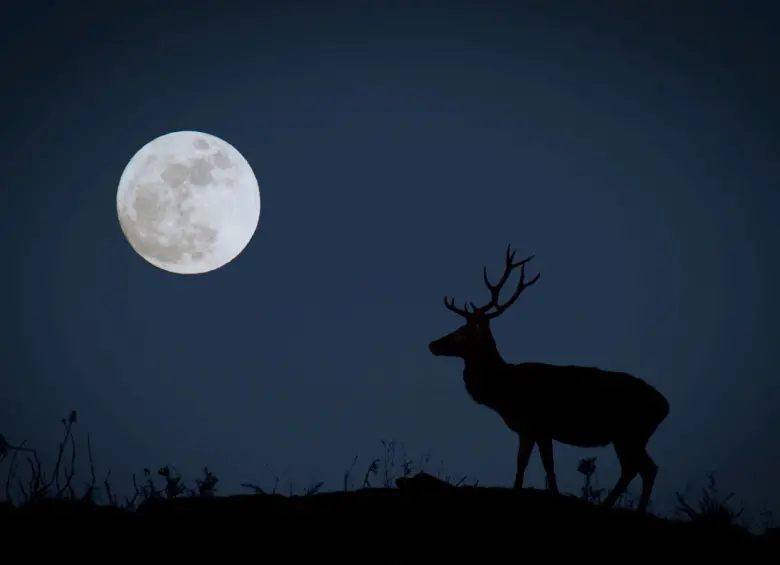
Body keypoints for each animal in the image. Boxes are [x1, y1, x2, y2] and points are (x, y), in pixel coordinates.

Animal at [428, 245, 670, 513]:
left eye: (463, 332)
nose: (433, 344)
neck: (504, 391)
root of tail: (665, 406)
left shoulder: (535, 423)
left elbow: (530, 464)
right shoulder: (538, 430)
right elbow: (542, 465)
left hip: (630, 432)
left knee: (640, 468)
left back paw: (623, 507)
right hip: (632, 435)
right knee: (643, 468)